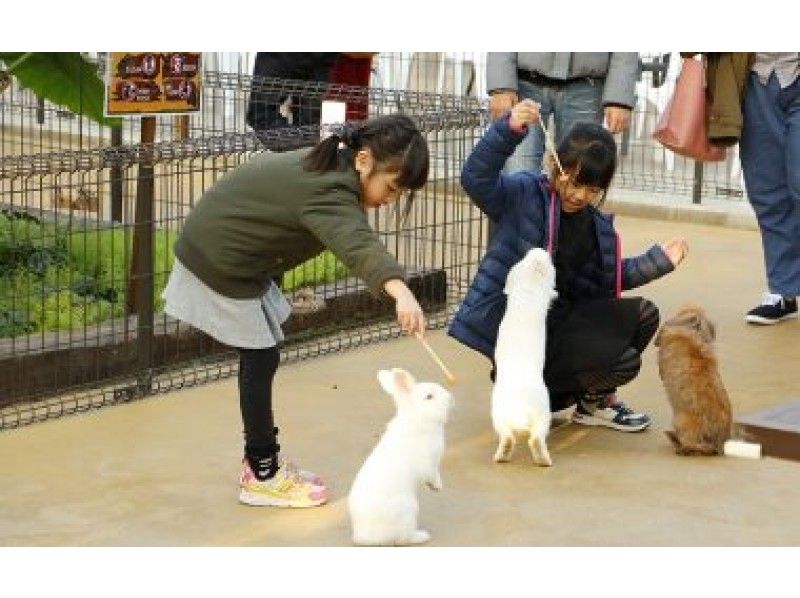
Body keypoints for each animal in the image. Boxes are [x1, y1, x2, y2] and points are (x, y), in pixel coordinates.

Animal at [346, 368, 454, 548]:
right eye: (429, 396)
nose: (450, 399)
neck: (418, 419)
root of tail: (365, 537)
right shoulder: (428, 463)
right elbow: (432, 474)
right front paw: (437, 486)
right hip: (409, 510)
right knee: (401, 539)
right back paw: (422, 536)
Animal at [490, 248, 560, 468]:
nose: (538, 250)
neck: (527, 292)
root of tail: (520, 408)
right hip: (542, 414)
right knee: (536, 439)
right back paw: (544, 460)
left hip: (499, 415)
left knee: (508, 437)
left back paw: (502, 456)